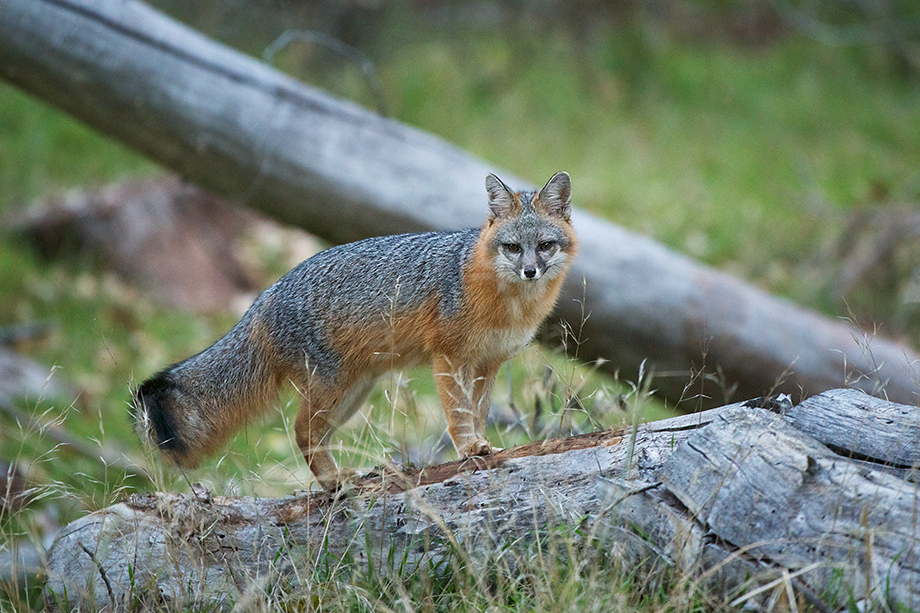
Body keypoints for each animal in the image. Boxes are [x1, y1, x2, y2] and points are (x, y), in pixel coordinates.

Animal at [133, 171, 580, 488]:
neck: (510, 305)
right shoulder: (450, 358)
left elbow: (480, 412)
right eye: (512, 248)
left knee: (309, 435)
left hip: (350, 396)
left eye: (544, 246)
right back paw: (334, 483)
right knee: (300, 431)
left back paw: (334, 479)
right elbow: (458, 414)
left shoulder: (489, 363)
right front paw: (470, 448)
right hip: (333, 390)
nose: (530, 271)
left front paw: (484, 444)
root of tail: (267, 294)